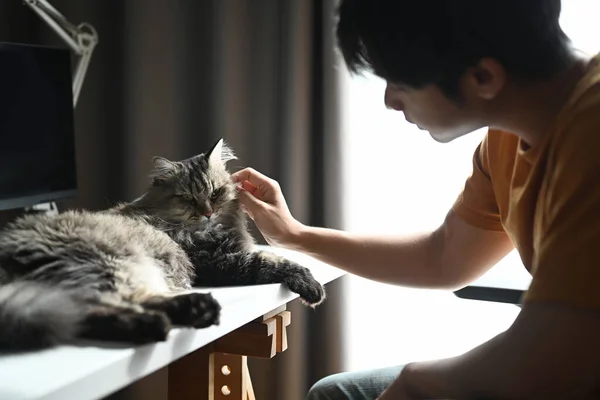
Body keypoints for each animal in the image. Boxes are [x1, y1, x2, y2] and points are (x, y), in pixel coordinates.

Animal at [0, 139, 326, 352]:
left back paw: (181, 315)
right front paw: (311, 286)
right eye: (188, 199)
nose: (208, 212)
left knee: (86, 312)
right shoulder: (222, 262)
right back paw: (172, 318)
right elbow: (276, 262)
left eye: (216, 193)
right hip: (110, 262)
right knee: (96, 306)